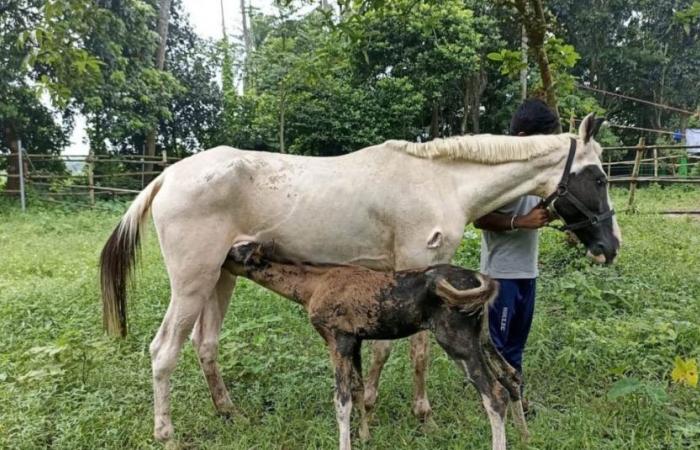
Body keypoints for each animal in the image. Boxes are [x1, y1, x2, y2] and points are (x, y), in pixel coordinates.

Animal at [100, 113, 616, 442]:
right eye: (600, 177)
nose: (609, 247)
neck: (442, 181)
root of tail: (166, 177)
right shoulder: (416, 268)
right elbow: (418, 352)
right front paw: (421, 416)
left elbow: (385, 350)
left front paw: (370, 407)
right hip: (192, 282)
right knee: (164, 351)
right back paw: (166, 433)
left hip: (219, 279)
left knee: (204, 344)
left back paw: (230, 413)